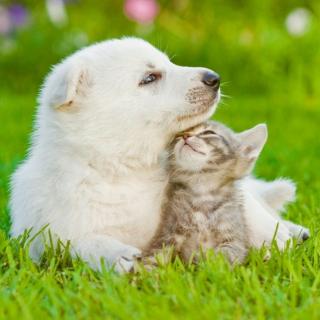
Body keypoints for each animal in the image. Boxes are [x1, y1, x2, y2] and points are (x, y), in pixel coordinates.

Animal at [144, 121, 268, 264]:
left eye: (209, 132)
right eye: (179, 134)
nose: (185, 135)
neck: (202, 195)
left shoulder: (235, 239)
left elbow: (223, 258)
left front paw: (210, 266)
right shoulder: (166, 234)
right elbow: (152, 258)